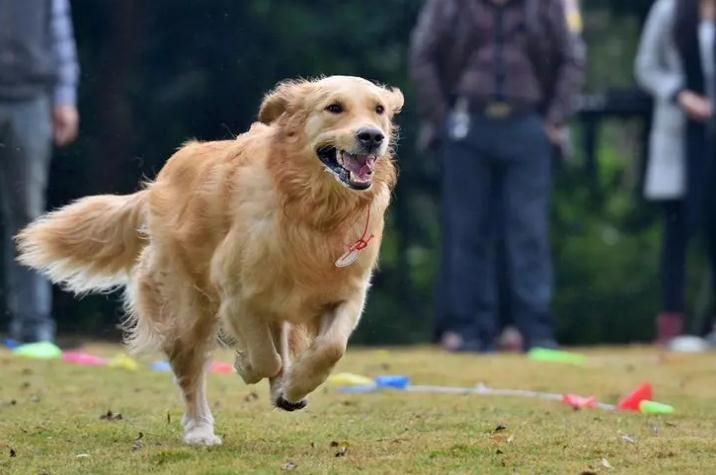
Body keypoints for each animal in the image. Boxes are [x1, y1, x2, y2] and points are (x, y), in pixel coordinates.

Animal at [16, 77, 406, 446]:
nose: (372, 137)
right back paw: (200, 430)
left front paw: (294, 386)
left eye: (379, 109)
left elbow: (330, 348)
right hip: (187, 308)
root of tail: (158, 183)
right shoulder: (238, 297)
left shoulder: (347, 293)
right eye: (334, 107)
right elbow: (265, 356)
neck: (313, 213)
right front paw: (248, 367)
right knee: (191, 372)